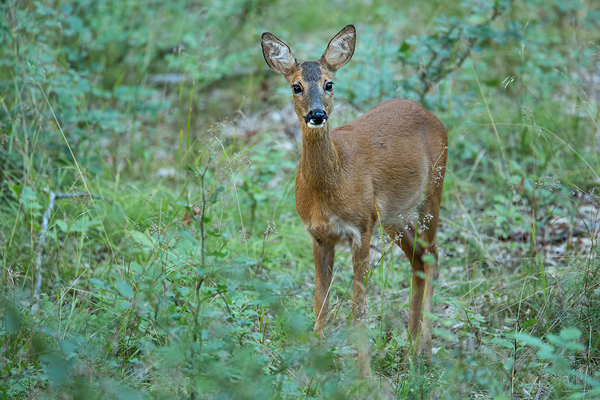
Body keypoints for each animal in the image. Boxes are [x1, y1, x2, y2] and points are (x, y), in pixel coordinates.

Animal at [260, 25, 448, 378]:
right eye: (296, 86)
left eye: (329, 84)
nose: (317, 114)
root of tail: (429, 113)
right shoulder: (319, 236)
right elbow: (320, 303)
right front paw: (313, 369)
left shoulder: (361, 229)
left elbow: (358, 308)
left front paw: (365, 376)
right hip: (392, 216)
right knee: (418, 259)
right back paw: (408, 349)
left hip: (433, 188)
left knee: (431, 254)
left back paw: (424, 350)